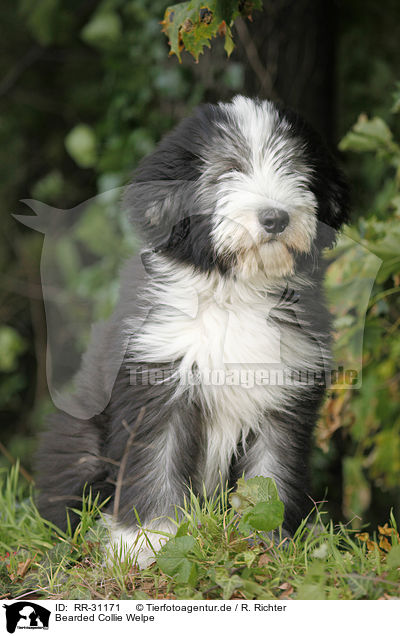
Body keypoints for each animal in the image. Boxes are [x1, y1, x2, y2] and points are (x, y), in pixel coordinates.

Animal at [37, 95, 350, 568]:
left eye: (296, 170)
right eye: (227, 171)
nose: (275, 218)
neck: (236, 293)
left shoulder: (284, 395)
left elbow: (272, 473)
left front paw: (269, 541)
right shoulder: (156, 380)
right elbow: (156, 463)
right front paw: (146, 541)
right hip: (79, 439)